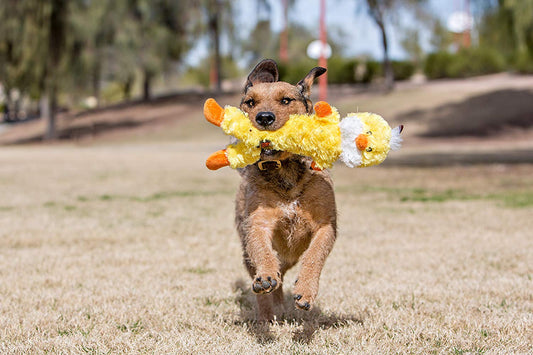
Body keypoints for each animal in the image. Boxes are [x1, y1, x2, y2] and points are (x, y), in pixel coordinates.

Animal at [234, 59, 334, 322]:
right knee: (263, 278)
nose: (263, 118)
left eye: (286, 100)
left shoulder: (325, 225)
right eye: (250, 102)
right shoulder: (257, 222)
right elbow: (262, 251)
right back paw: (267, 313)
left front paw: (305, 291)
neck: (285, 172)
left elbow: (314, 256)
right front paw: (266, 276)